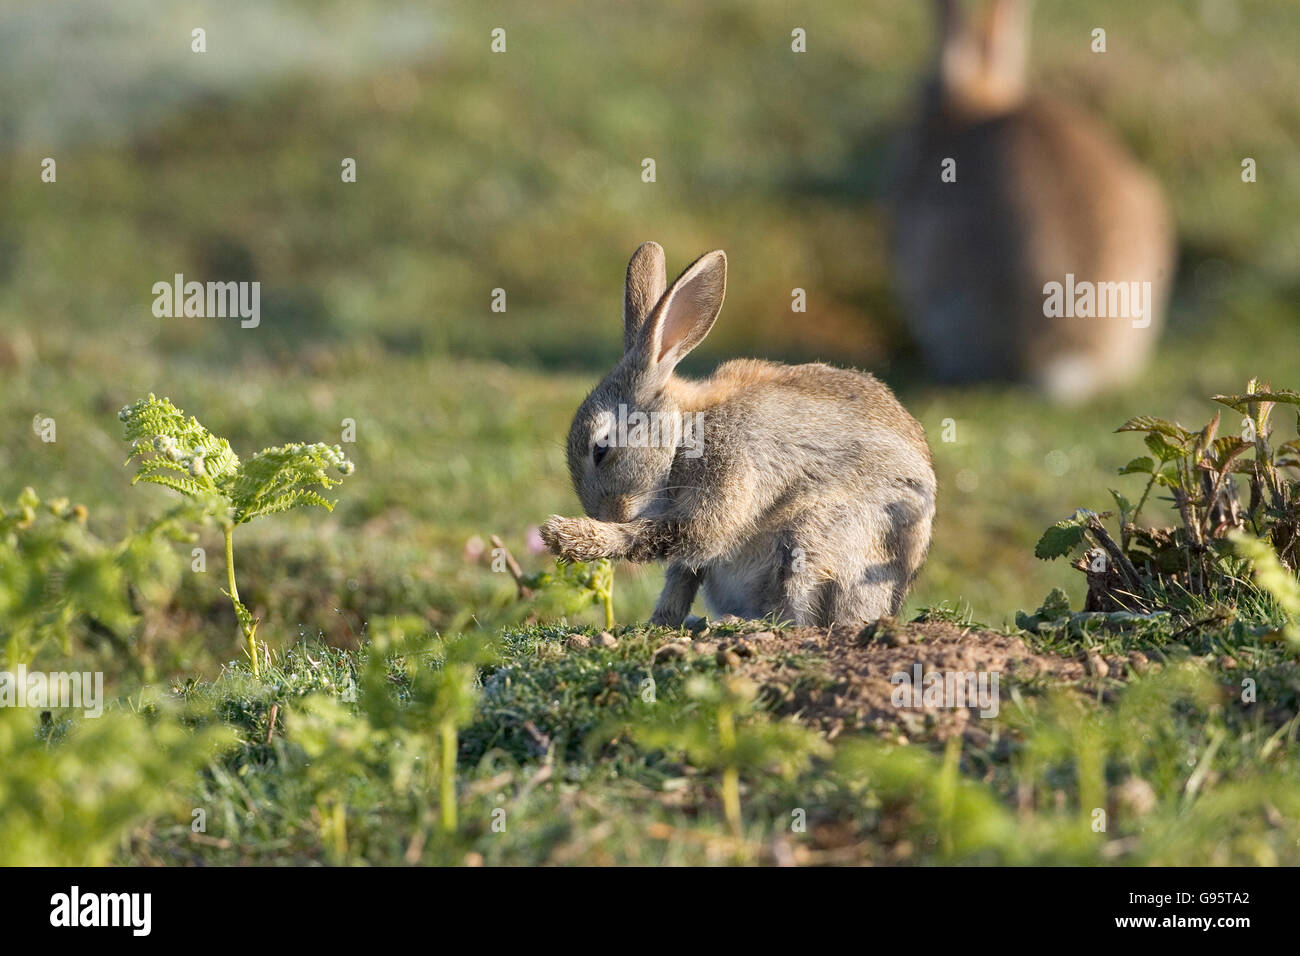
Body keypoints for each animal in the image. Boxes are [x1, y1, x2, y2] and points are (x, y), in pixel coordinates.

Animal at [540, 242, 936, 627]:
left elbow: (674, 538)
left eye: (601, 449)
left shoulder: (727, 478)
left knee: (801, 617)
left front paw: (568, 536)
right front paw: (658, 621)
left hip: (818, 536)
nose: (608, 514)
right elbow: (681, 575)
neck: (685, 432)